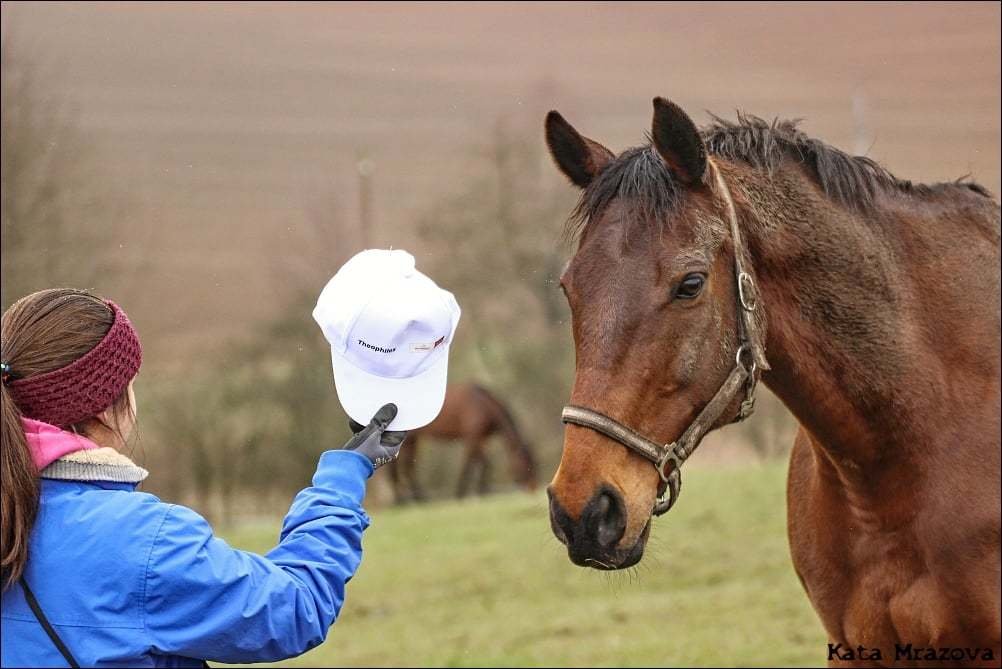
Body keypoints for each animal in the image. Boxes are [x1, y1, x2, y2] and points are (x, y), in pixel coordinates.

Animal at [386, 380, 537, 500]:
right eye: (524, 464)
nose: (533, 489)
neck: (482, 404)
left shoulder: (481, 440)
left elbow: (485, 463)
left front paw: (483, 491)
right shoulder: (472, 439)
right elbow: (469, 463)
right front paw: (461, 493)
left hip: (412, 440)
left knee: (405, 468)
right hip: (408, 440)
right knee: (405, 467)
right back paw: (411, 499)